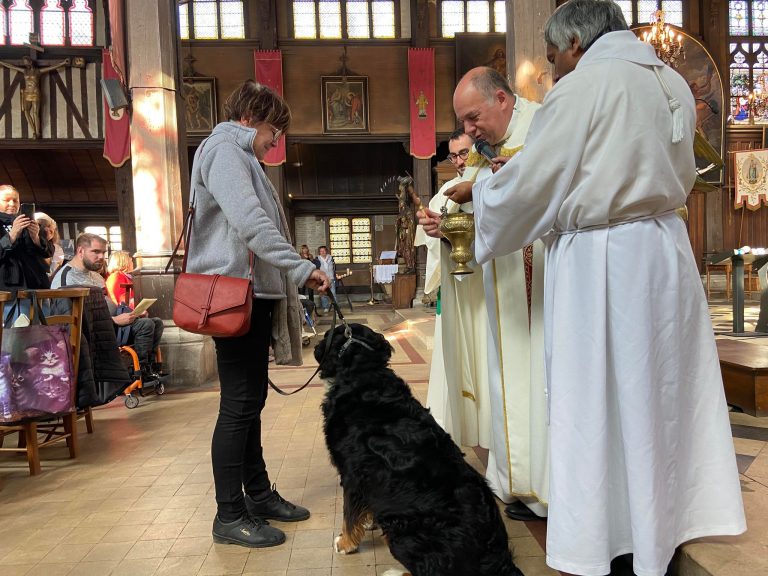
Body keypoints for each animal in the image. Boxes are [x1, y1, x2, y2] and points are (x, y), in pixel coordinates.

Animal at [314, 324, 520, 576]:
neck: (361, 374)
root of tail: (495, 553)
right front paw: (369, 520)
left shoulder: (352, 474)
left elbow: (348, 515)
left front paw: (345, 543)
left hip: (403, 532)